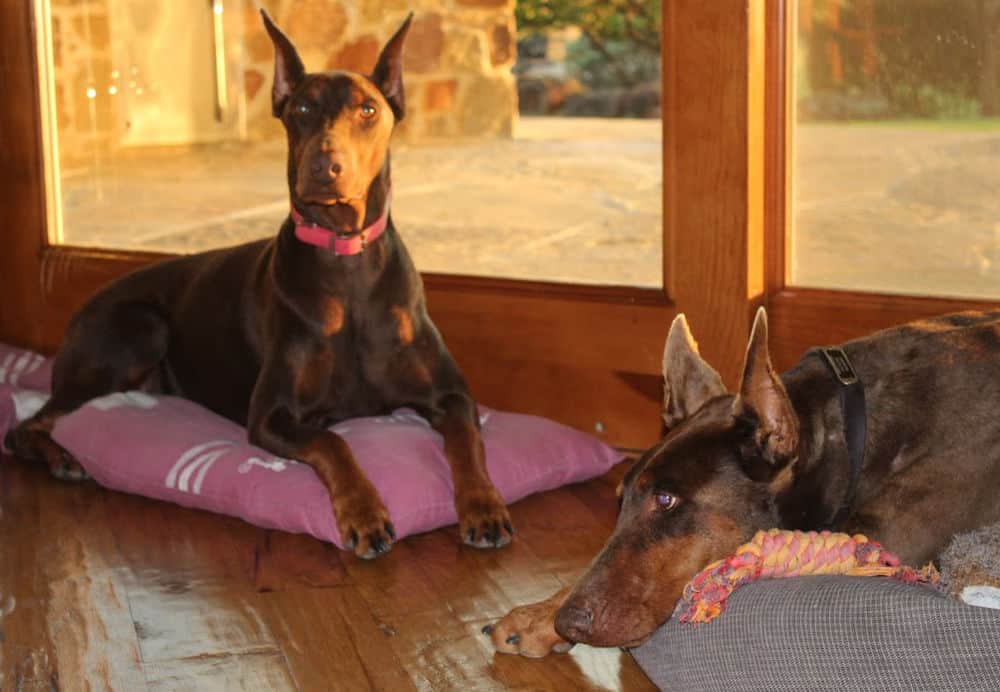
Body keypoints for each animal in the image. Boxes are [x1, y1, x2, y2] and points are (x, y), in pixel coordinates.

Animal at [3, 10, 512, 560]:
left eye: (369, 109)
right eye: (303, 107)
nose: (324, 166)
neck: (345, 260)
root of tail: (79, 312)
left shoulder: (451, 394)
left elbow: (468, 441)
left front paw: (484, 506)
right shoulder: (270, 414)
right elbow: (334, 441)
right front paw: (364, 513)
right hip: (138, 329)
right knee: (25, 425)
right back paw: (61, 456)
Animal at [484, 308, 1000, 656]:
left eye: (666, 499)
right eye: (619, 500)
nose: (569, 622)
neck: (849, 434)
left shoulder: (881, 538)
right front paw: (537, 614)